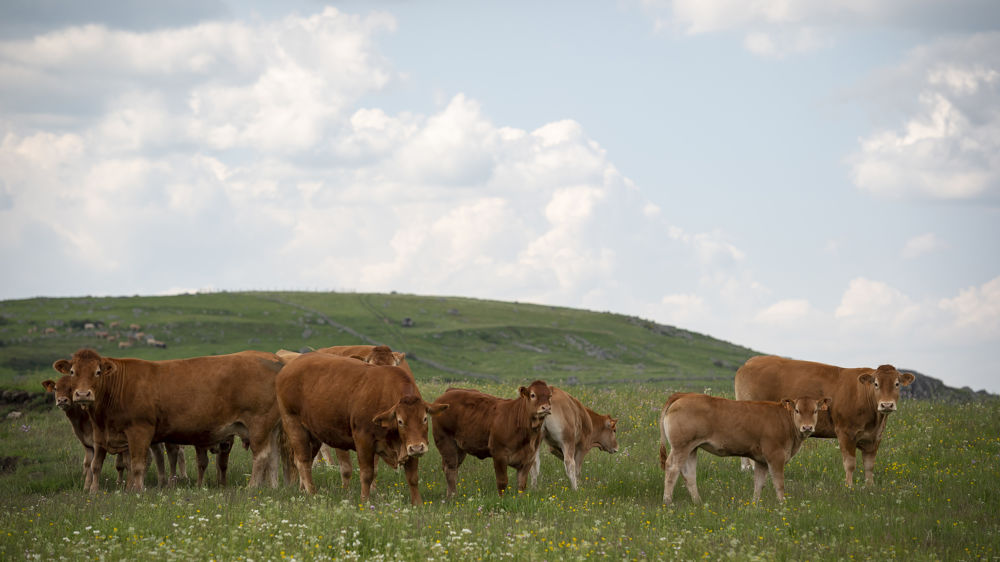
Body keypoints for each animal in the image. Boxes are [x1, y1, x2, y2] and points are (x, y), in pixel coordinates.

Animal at [51, 346, 286, 490]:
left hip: (258, 424)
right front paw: (93, 492)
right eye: (72, 372)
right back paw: (273, 487)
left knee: (262, 456)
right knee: (274, 457)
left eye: (98, 372)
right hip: (272, 427)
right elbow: (95, 465)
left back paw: (253, 487)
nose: (83, 394)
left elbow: (137, 464)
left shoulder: (139, 431)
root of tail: (276, 361)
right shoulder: (100, 435)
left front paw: (137, 490)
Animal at [276, 350, 444, 504]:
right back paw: (312, 493)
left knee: (305, 460)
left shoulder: (408, 447)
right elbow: (367, 474)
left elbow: (413, 477)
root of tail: (289, 367)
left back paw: (302, 490)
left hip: (315, 434)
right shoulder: (364, 440)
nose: (417, 447)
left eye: (424, 418)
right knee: (303, 461)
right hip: (294, 425)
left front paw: (418, 503)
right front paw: (365, 500)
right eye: (400, 421)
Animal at [660, 390, 832, 504]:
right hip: (681, 446)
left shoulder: (761, 460)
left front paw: (754, 506)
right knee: (672, 468)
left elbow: (759, 484)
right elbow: (779, 483)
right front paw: (782, 506)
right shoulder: (775, 456)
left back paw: (698, 502)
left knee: (689, 473)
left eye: (815, 411)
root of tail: (683, 395)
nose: (807, 427)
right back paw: (668, 502)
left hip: (691, 448)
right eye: (797, 410)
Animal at [736, 354, 916, 486]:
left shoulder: (874, 437)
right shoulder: (845, 432)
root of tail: (751, 361)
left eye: (897, 384)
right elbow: (850, 463)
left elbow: (869, 465)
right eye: (876, 384)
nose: (887, 404)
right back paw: (748, 469)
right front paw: (849, 487)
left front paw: (870, 488)